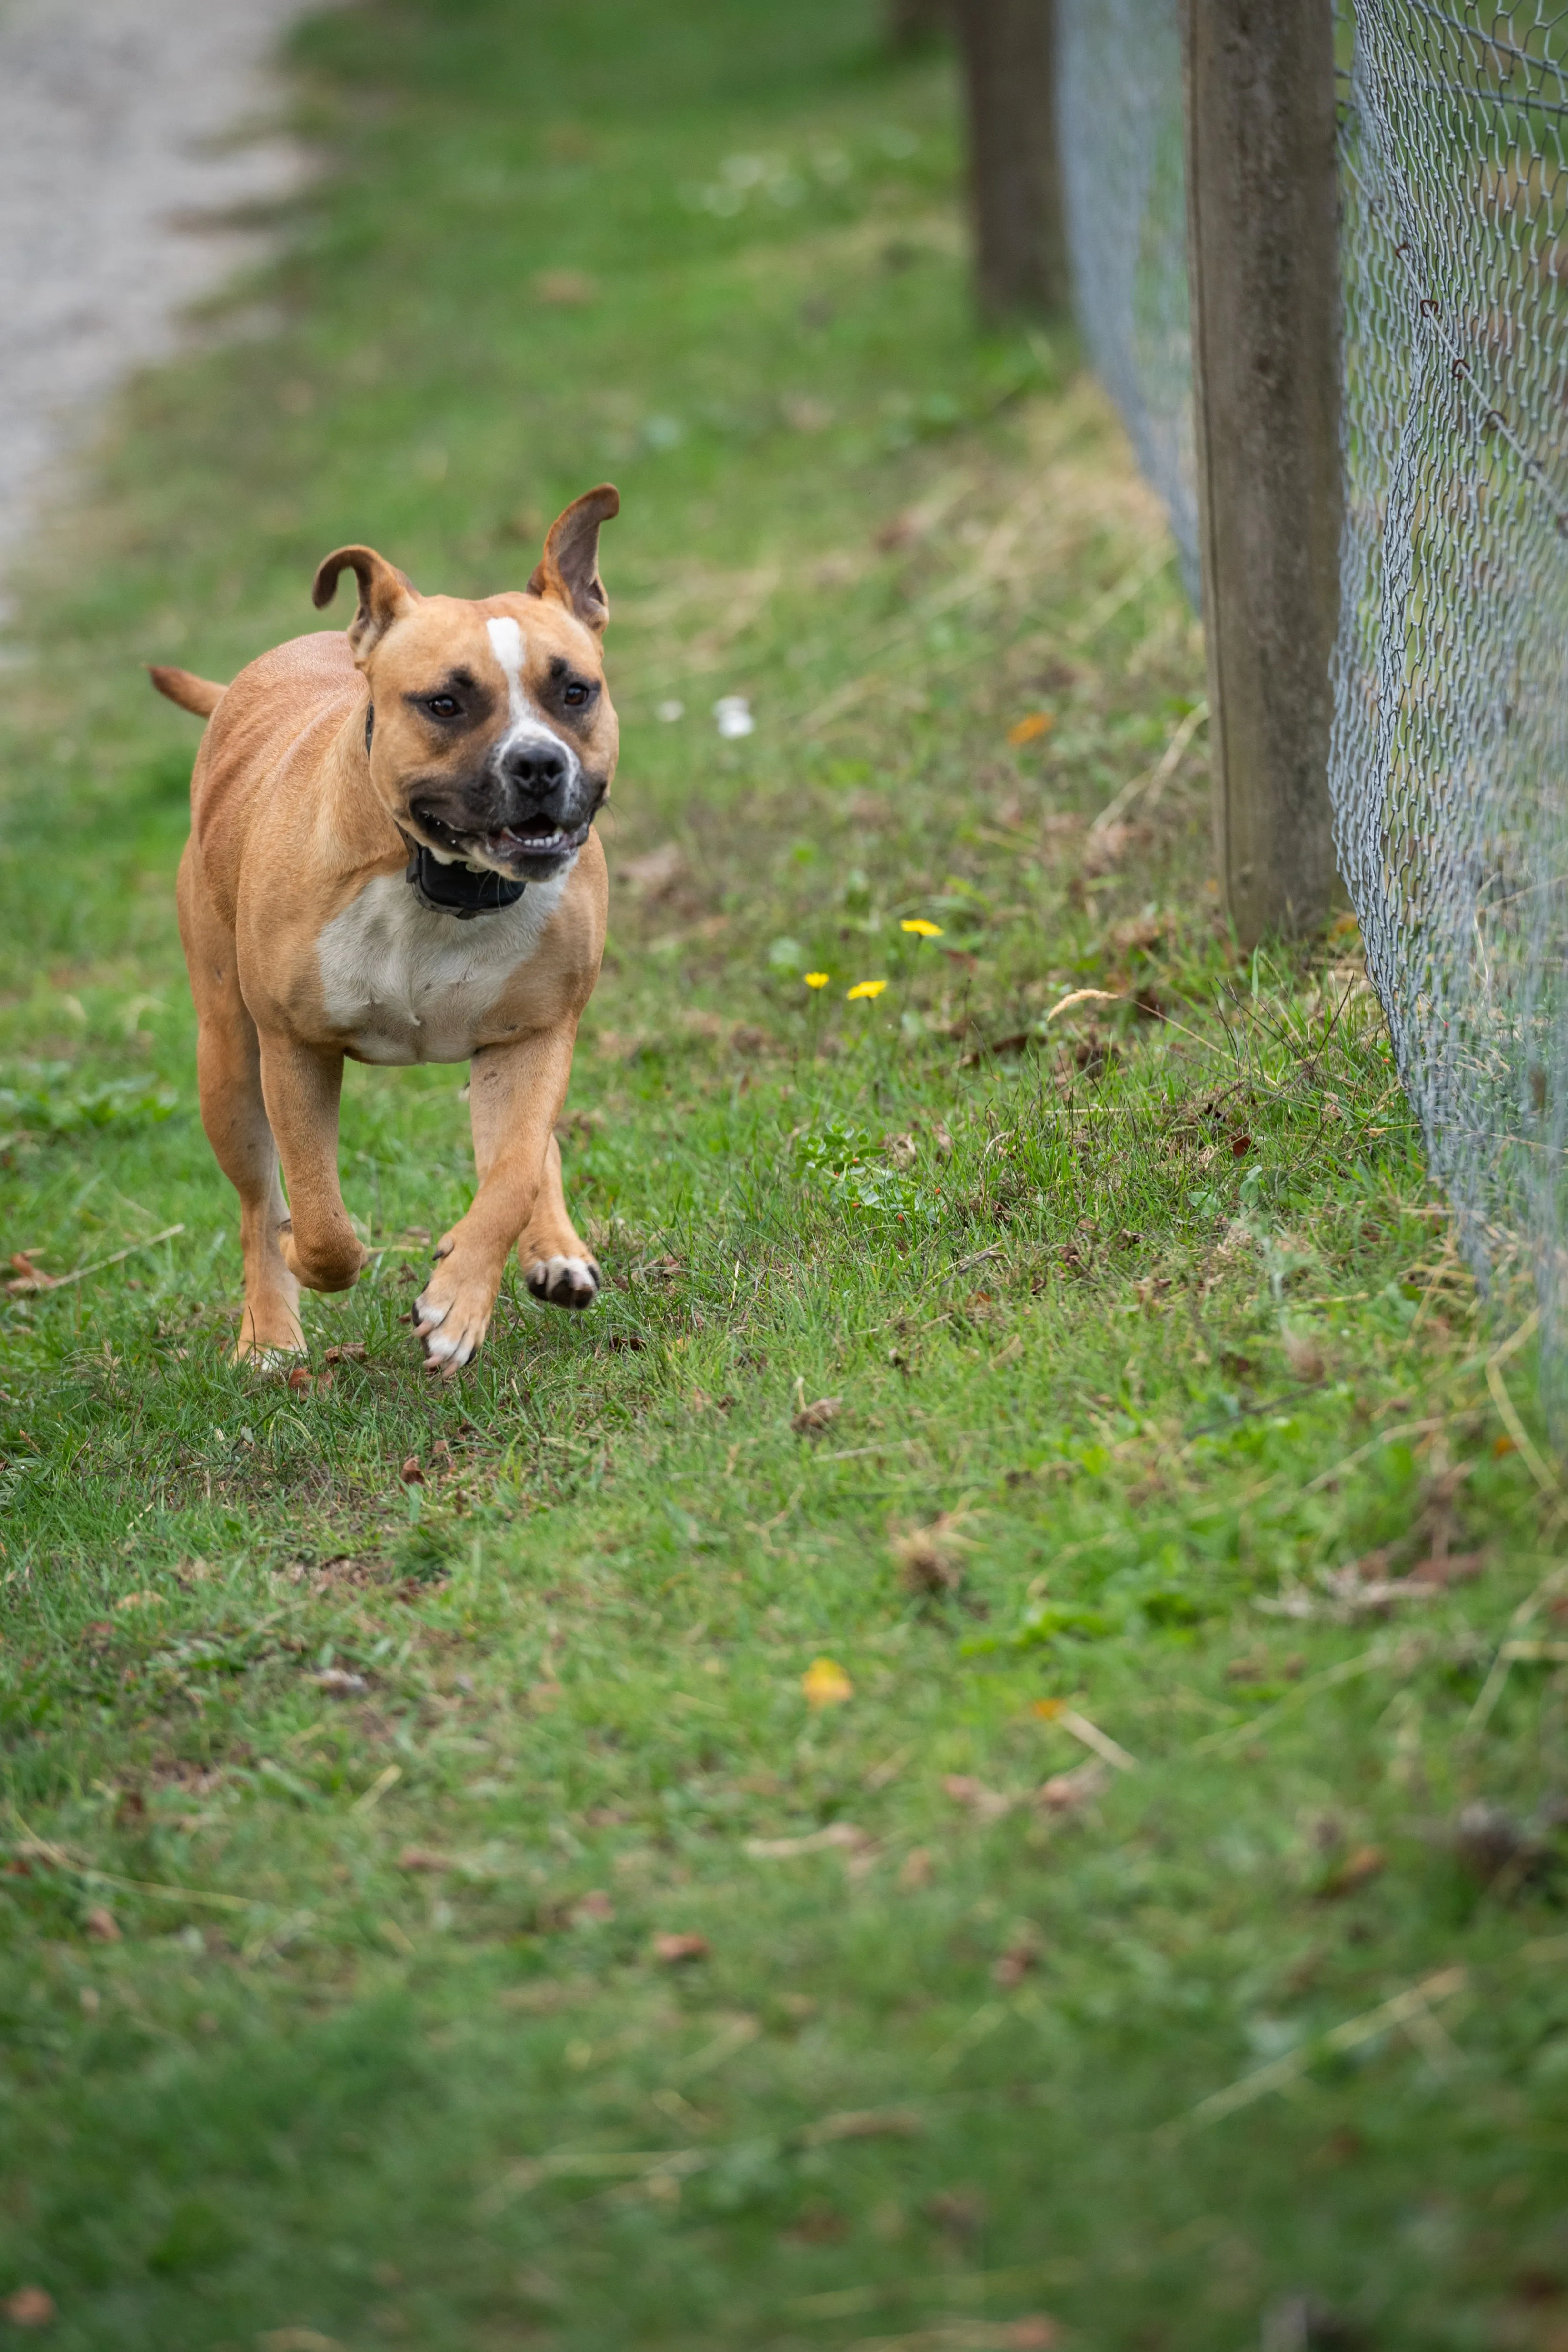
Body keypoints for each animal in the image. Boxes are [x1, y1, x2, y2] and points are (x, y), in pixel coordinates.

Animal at [152, 491, 620, 1373]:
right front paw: (310, 1258)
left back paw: (555, 1248)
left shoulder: (538, 1032)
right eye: (445, 703)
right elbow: (319, 1222)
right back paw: (268, 1334)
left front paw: (458, 1302)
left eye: (575, 691)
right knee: (256, 1201)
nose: (539, 763)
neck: (440, 882)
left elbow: (511, 1175)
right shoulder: (295, 1049)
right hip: (226, 1057)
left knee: (524, 1152)